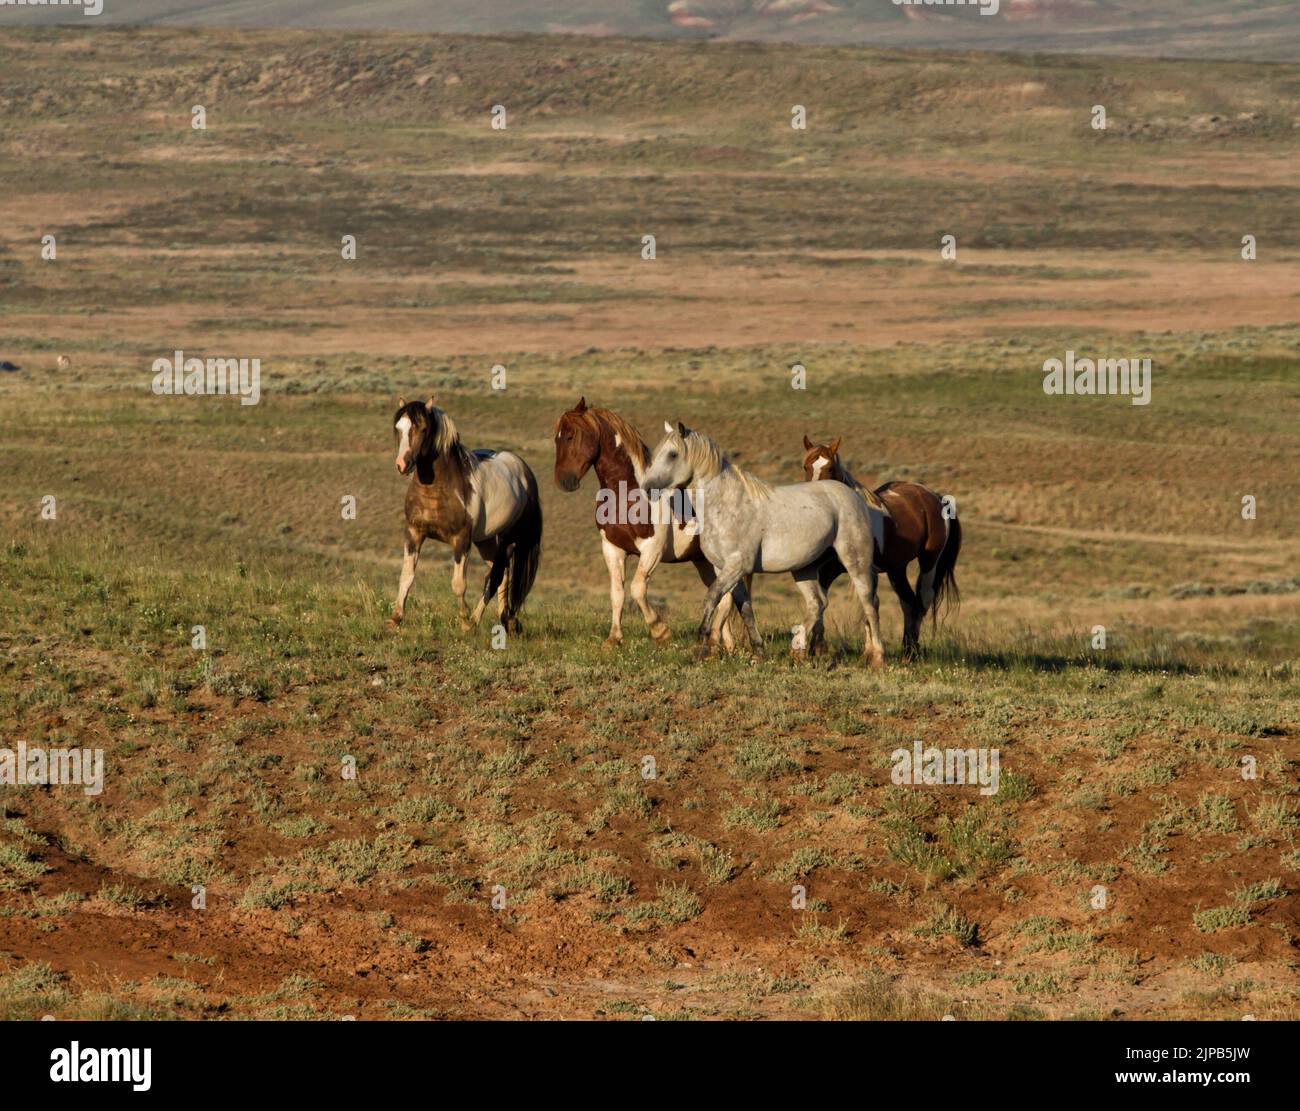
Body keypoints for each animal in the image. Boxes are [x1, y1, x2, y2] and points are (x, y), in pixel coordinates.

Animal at [390, 397, 543, 634]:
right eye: (399, 428)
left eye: (423, 429)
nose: (402, 465)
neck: (437, 488)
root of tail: (524, 471)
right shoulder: (414, 533)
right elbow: (406, 576)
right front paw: (395, 618)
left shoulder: (461, 540)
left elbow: (458, 584)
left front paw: (463, 619)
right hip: (485, 540)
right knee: (503, 575)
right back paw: (505, 618)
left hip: (508, 539)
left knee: (495, 577)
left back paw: (475, 621)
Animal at [553, 397, 748, 647]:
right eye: (556, 438)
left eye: (570, 435)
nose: (564, 481)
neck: (628, 494)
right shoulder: (612, 549)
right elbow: (617, 593)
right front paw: (613, 638)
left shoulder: (652, 549)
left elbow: (637, 588)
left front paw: (660, 631)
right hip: (703, 561)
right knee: (724, 597)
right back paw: (726, 645)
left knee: (728, 597)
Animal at [642, 423, 894, 670]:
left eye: (673, 454)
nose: (647, 488)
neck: (726, 505)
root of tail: (854, 496)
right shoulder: (726, 569)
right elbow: (745, 609)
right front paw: (758, 653)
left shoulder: (736, 566)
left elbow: (712, 598)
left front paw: (702, 649)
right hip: (804, 568)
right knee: (817, 603)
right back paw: (798, 651)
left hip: (855, 562)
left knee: (869, 603)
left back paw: (877, 658)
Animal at [795, 434, 961, 660]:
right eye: (806, 466)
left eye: (830, 468)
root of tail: (934, 496)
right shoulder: (828, 570)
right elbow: (822, 600)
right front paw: (817, 648)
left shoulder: (864, 570)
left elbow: (869, 604)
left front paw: (871, 653)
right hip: (897, 569)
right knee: (908, 603)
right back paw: (907, 650)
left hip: (930, 564)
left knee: (922, 600)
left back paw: (911, 652)